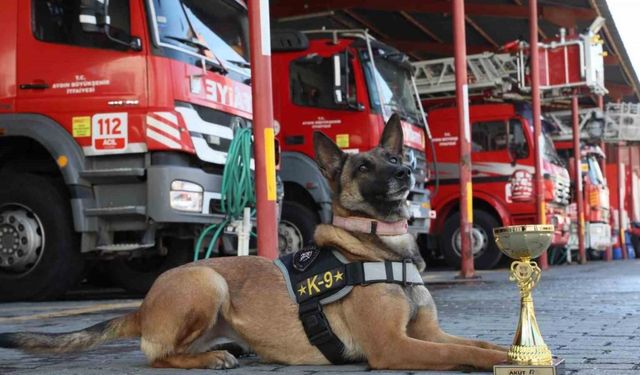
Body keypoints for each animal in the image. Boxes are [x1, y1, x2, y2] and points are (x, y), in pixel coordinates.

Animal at [0, 115, 510, 374]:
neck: (380, 250)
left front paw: (512, 350)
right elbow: (461, 353)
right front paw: (504, 359)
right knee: (157, 356)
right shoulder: (395, 347)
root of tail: (143, 307)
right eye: (364, 167)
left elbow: (477, 342)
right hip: (208, 281)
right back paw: (212, 358)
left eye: (393, 156)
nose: (405, 172)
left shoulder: (427, 333)